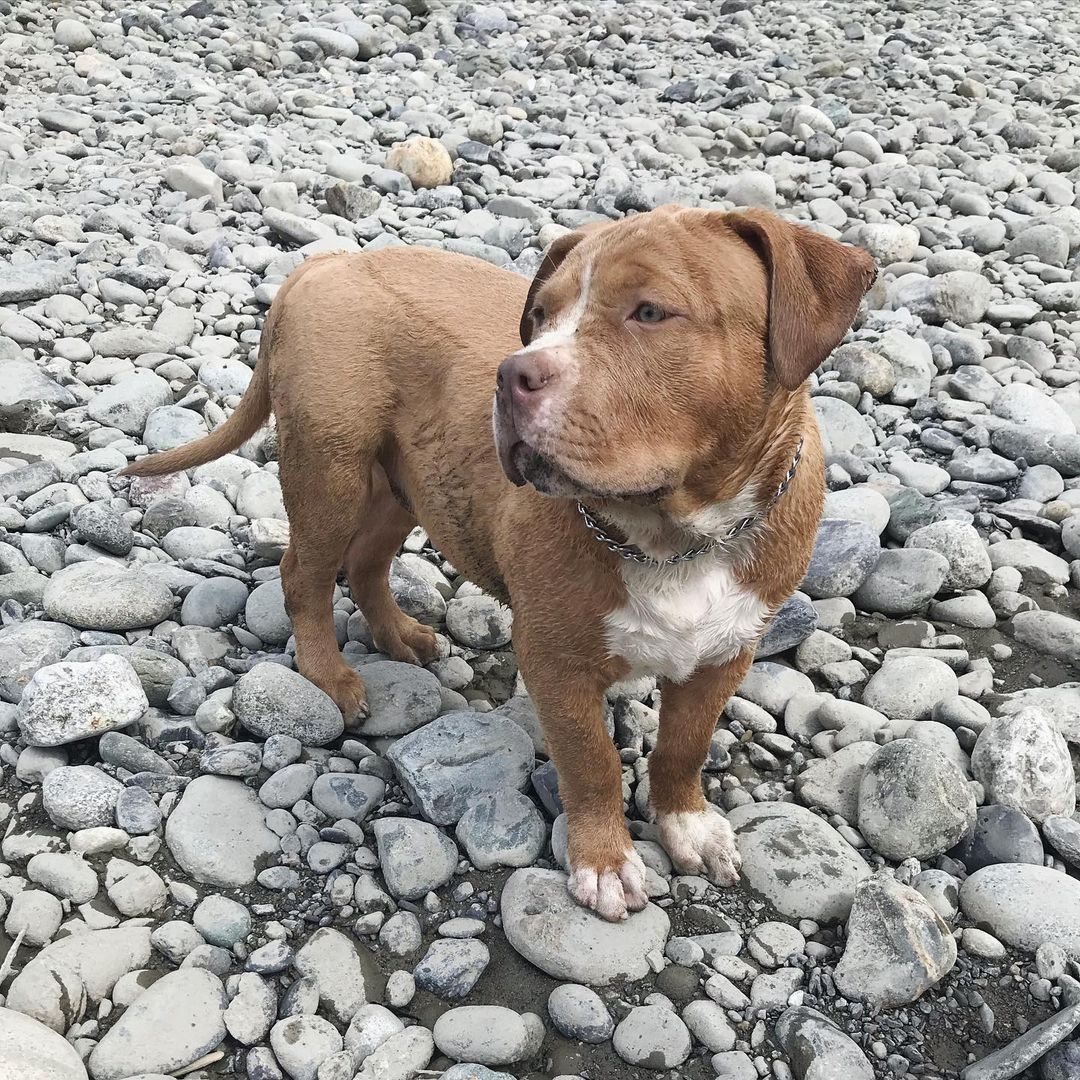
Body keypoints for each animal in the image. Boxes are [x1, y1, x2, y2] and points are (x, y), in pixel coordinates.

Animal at [123, 205, 876, 921]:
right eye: (538, 317)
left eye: (650, 312)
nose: (511, 373)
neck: (677, 536)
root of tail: (328, 263)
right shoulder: (556, 662)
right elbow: (593, 762)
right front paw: (604, 862)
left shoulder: (726, 652)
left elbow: (683, 747)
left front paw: (686, 822)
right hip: (330, 468)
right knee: (302, 573)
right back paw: (329, 677)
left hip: (409, 483)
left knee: (365, 562)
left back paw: (398, 635)